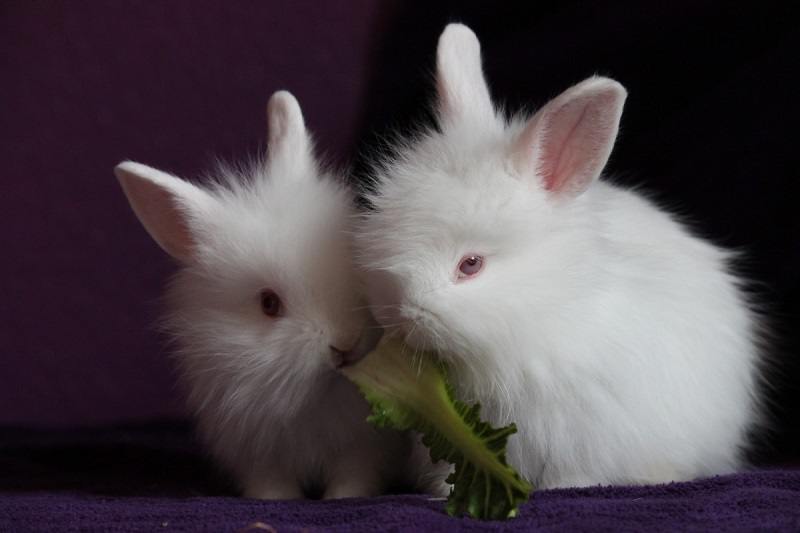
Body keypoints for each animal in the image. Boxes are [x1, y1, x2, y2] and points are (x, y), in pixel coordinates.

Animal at [115, 90, 423, 499]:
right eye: (268, 304)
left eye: (354, 270)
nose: (345, 344)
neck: (313, 398)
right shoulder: (256, 452)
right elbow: (272, 484)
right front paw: (278, 499)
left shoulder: (363, 449)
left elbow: (353, 477)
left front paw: (343, 498)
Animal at [354, 24, 765, 489]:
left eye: (470, 265)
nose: (404, 317)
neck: (542, 314)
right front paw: (441, 493)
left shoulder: (584, 430)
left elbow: (575, 470)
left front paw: (567, 487)